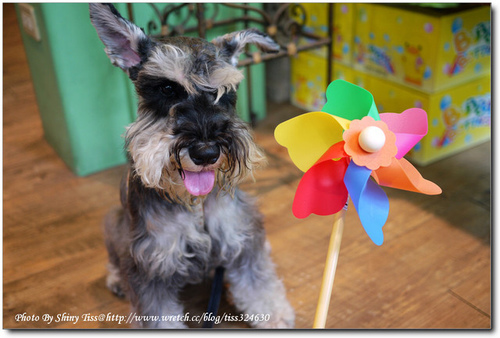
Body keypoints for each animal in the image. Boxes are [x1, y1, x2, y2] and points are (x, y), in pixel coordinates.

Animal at [90, 3, 294, 328]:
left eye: (225, 92)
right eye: (166, 89)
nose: (206, 152)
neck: (195, 205)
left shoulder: (240, 237)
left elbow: (259, 284)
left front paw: (276, 316)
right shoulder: (150, 265)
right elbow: (158, 316)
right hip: (114, 224)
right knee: (115, 258)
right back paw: (116, 279)